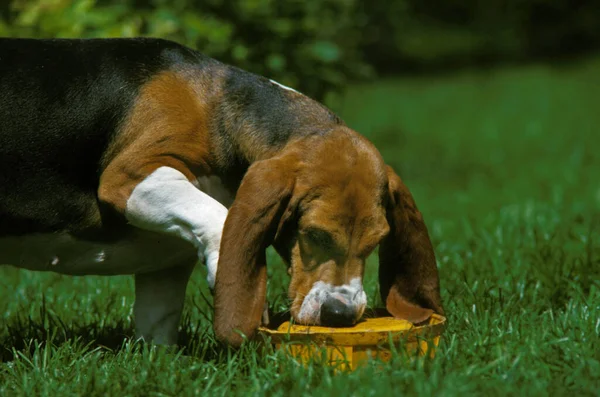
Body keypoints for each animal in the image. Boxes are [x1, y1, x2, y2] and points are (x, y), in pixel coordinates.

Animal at [0, 38, 440, 346]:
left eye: (377, 242)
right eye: (313, 234)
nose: (340, 314)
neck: (219, 107)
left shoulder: (163, 269)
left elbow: (156, 332)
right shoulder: (130, 177)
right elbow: (219, 215)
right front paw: (229, 278)